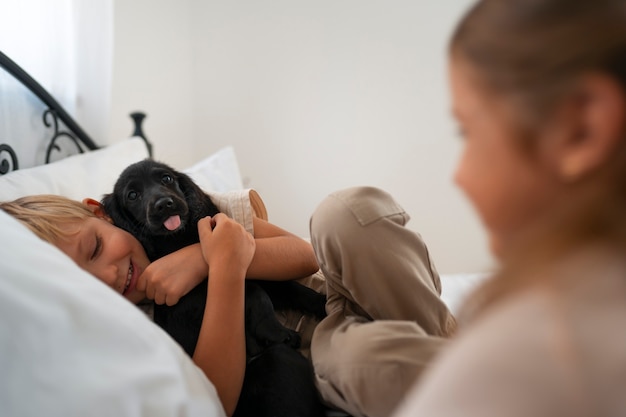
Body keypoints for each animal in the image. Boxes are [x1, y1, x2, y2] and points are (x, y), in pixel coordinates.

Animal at [101, 158, 326, 416]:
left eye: (166, 178)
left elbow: (293, 290)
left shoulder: (253, 271)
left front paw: (326, 304)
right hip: (280, 360)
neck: (179, 241)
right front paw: (277, 332)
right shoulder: (188, 298)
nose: (164, 204)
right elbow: (256, 293)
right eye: (132, 195)